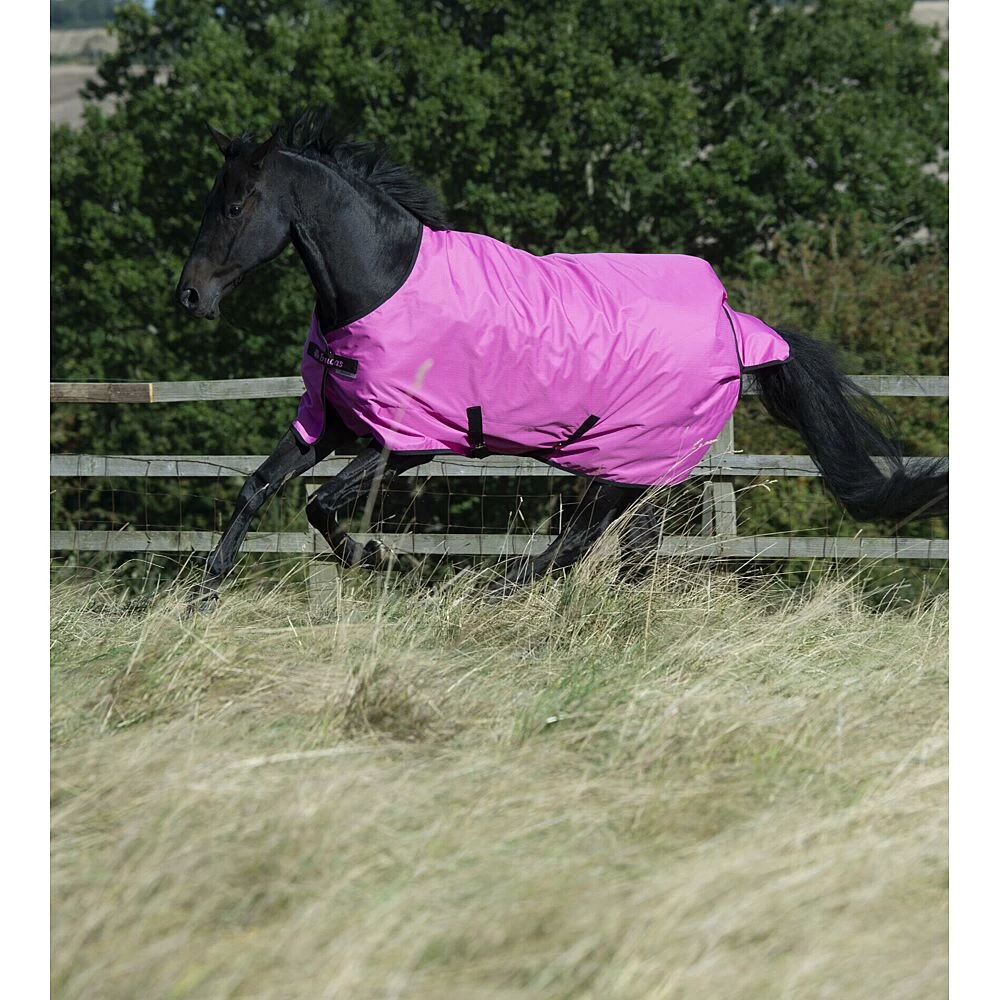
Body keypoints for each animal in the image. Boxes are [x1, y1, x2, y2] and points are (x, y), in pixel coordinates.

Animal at [177, 111, 947, 601]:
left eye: (237, 204)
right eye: (212, 200)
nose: (189, 295)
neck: (383, 281)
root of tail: (740, 327)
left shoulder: (410, 441)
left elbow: (324, 505)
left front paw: (382, 559)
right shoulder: (333, 423)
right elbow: (261, 489)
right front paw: (204, 592)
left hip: (629, 467)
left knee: (578, 546)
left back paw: (486, 589)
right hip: (625, 473)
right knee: (600, 549)